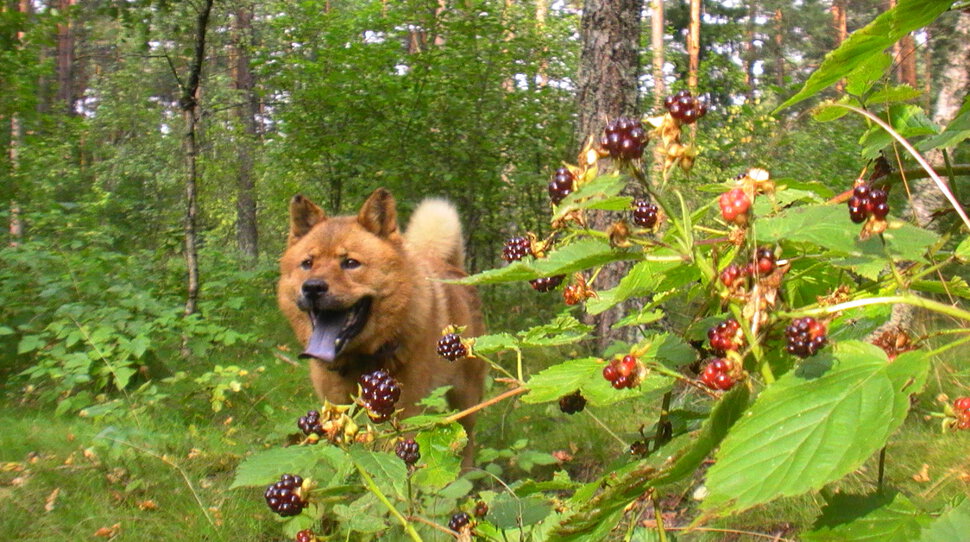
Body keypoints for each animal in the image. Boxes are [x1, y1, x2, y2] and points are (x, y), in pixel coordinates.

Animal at [274, 189, 484, 466]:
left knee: (466, 442)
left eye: (350, 262)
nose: (312, 287)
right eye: (307, 263)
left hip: (466, 399)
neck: (361, 360)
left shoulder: (406, 411)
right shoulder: (336, 408)